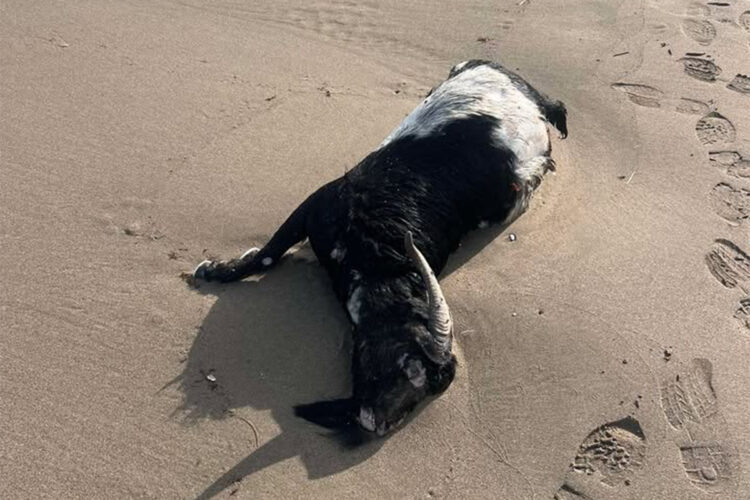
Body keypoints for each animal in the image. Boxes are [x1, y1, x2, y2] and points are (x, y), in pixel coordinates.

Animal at [192, 59, 567, 437]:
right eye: (407, 365)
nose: (376, 424)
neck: (376, 259)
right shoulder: (316, 205)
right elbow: (268, 254)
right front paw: (216, 271)